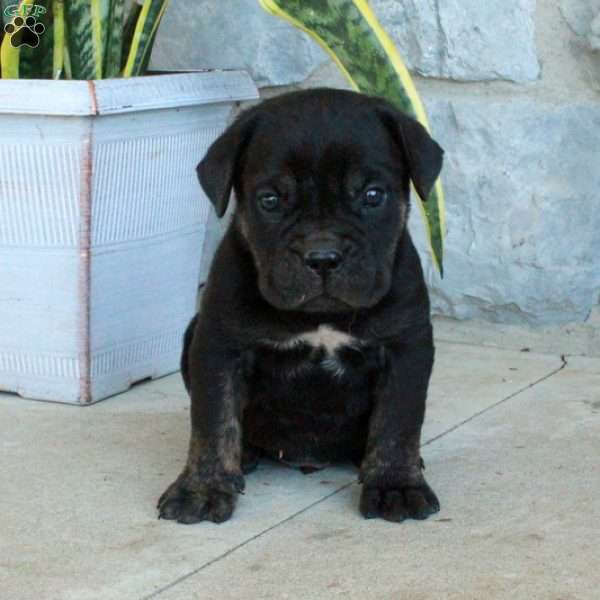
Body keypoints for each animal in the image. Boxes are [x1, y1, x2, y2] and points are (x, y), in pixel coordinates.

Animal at [157, 86, 442, 524]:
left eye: (372, 196)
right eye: (270, 200)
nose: (322, 256)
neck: (321, 317)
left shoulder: (405, 347)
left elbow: (398, 420)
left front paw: (395, 484)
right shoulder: (219, 346)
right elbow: (212, 419)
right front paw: (202, 487)